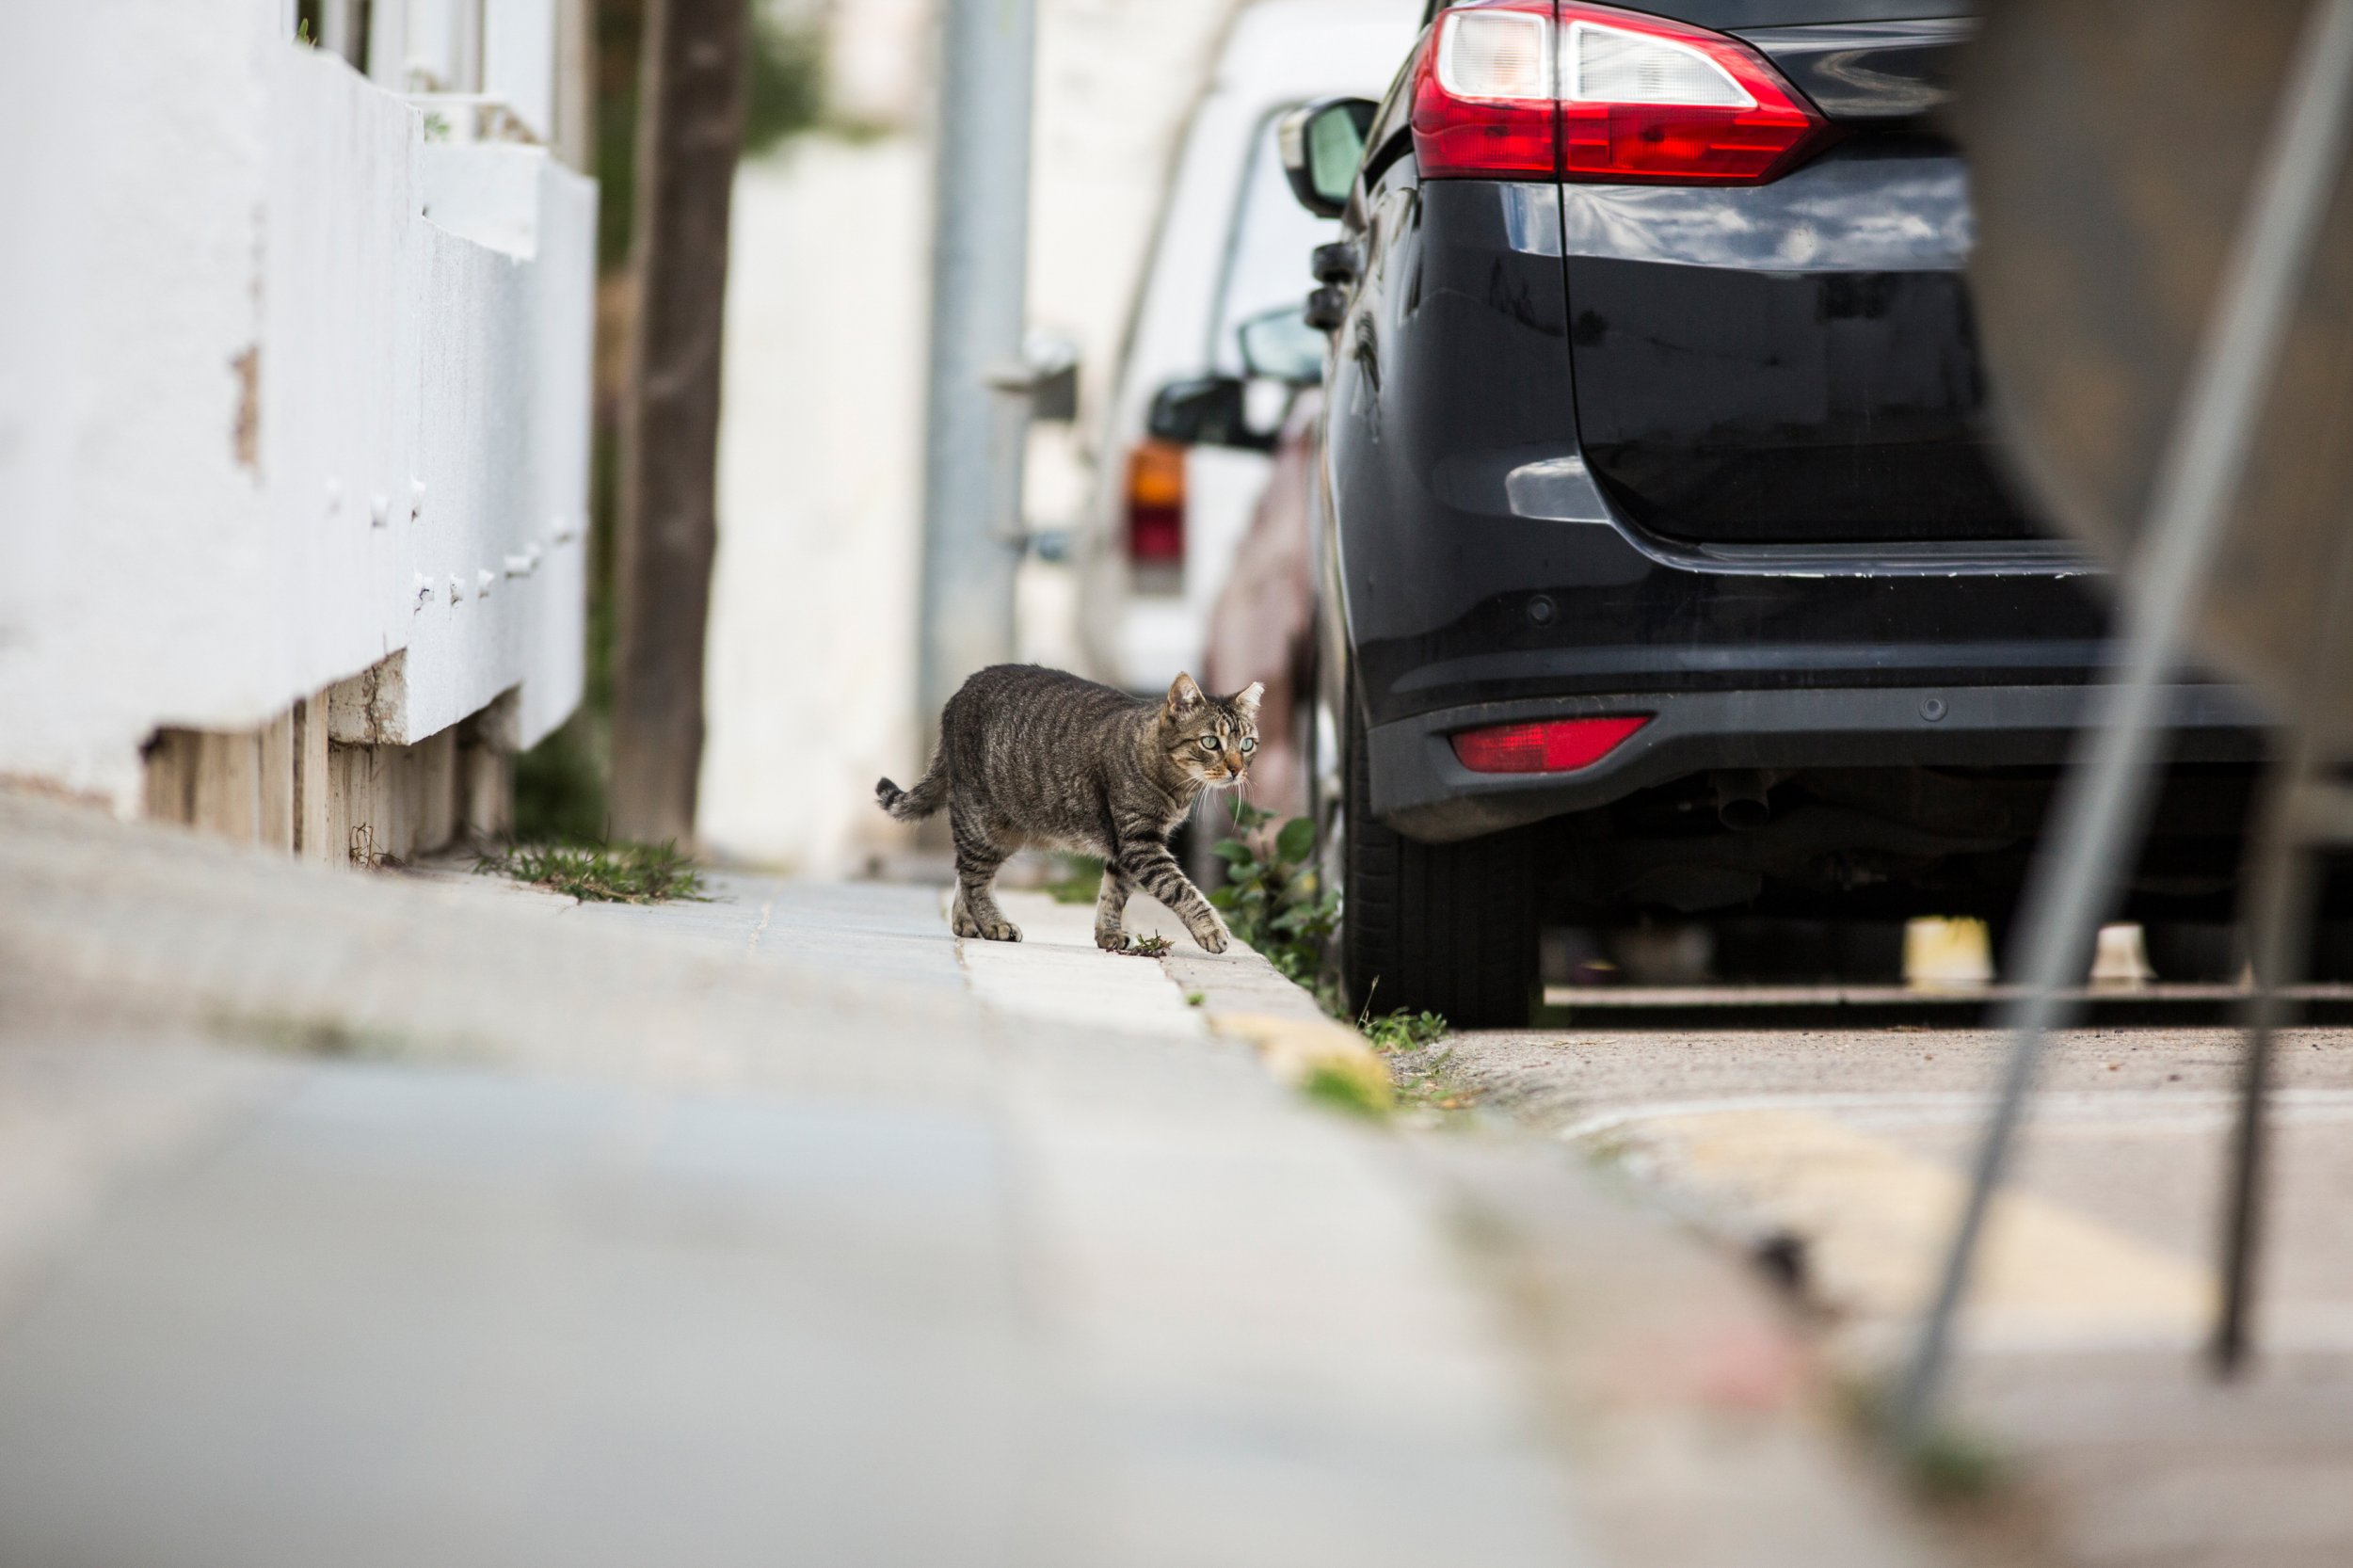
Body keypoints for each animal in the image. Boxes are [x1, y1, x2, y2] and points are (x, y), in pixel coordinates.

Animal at [880, 664, 1252, 951]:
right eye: (1210, 742)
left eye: (1247, 744)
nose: (1237, 769)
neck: (1178, 788)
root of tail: (958, 695)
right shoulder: (1140, 844)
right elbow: (1182, 890)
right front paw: (1212, 930)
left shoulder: (1127, 847)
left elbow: (1114, 893)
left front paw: (1108, 933)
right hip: (984, 824)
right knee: (974, 880)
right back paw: (993, 924)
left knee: (964, 873)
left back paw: (965, 923)